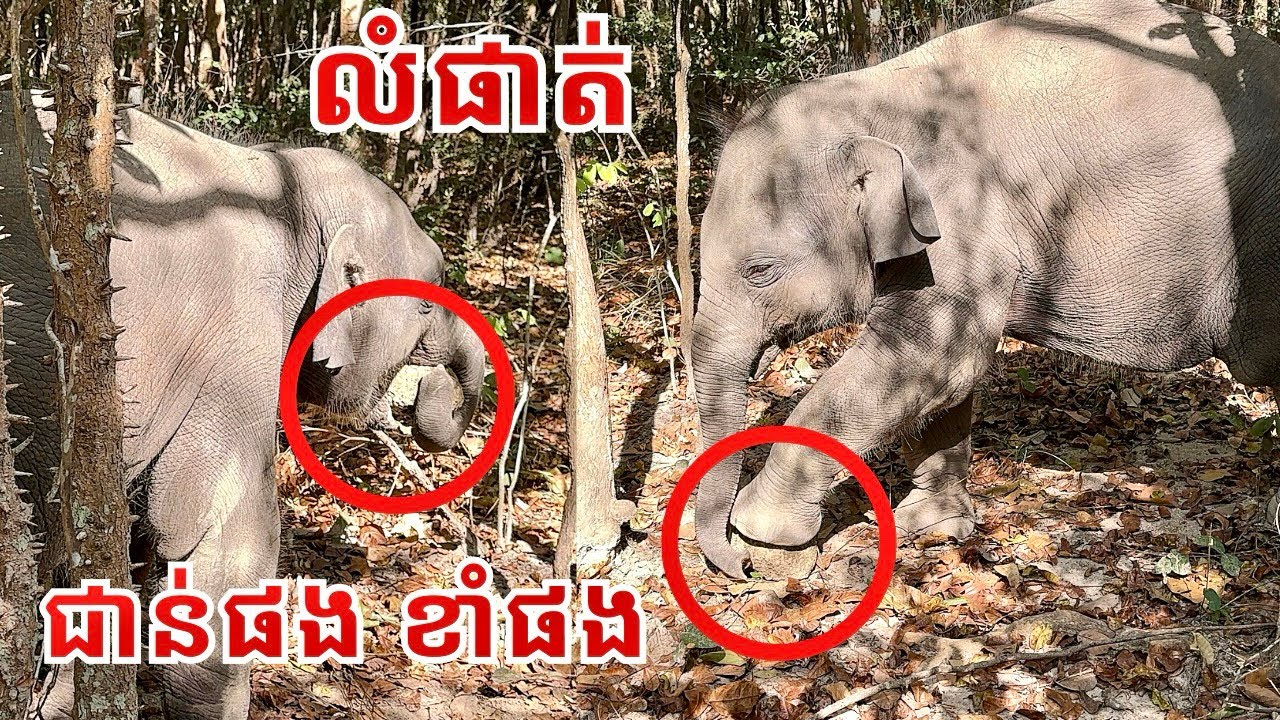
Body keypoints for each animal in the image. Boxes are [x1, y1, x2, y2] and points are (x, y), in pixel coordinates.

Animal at [690, 0, 1280, 578]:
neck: (872, 97)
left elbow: (931, 357)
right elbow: (942, 374)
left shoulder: (965, 218)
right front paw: (932, 527)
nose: (737, 567)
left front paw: (764, 537)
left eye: (760, 270)